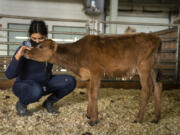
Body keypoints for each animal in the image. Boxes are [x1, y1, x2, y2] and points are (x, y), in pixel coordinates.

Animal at [24, 33, 163, 126]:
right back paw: (156, 118)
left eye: (41, 46)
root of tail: (155, 37)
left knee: (147, 89)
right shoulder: (88, 76)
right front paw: (88, 114)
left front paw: (94, 120)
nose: (26, 51)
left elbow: (94, 94)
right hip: (154, 68)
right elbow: (89, 94)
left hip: (144, 66)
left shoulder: (96, 72)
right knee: (158, 86)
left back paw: (138, 118)